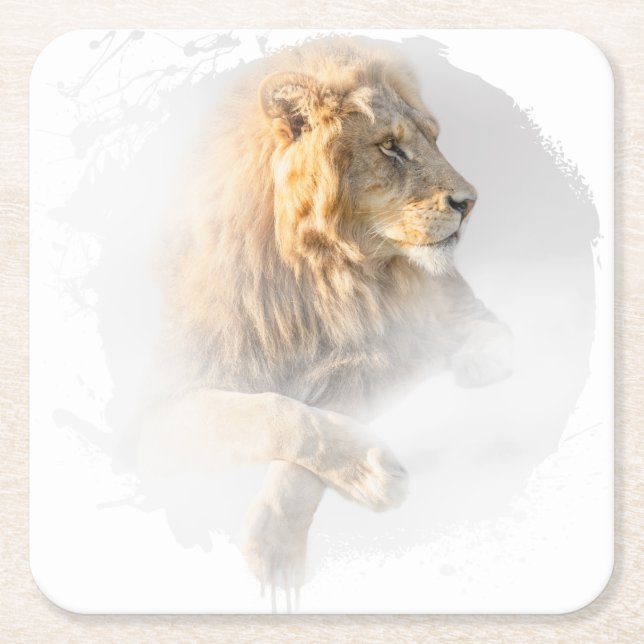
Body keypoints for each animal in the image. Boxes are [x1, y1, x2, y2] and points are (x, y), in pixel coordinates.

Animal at [138, 36, 512, 611]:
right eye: (390, 147)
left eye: (433, 138)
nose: (470, 203)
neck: (315, 277)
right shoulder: (151, 411)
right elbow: (278, 412)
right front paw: (368, 474)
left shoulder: (377, 351)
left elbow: (320, 408)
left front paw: (277, 543)